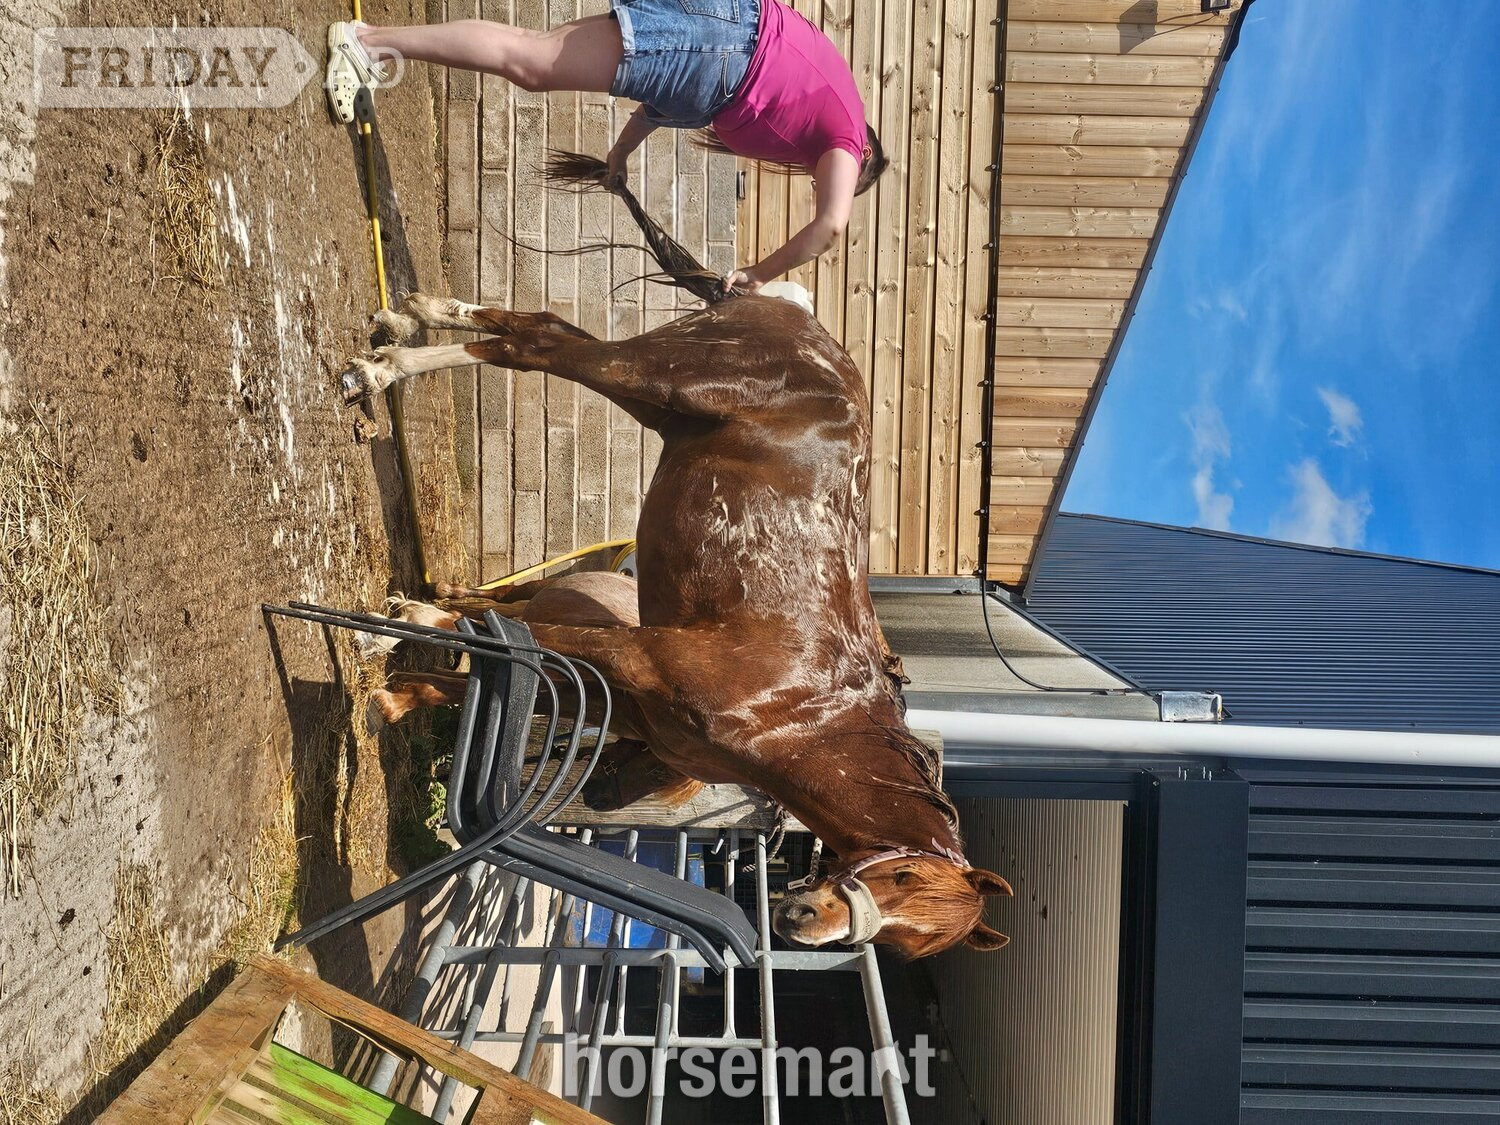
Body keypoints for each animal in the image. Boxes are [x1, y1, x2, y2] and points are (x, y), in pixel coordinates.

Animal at [340, 155, 1011, 958]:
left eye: (906, 945)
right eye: (904, 876)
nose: (799, 918)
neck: (796, 712)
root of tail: (789, 308)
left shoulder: (626, 704)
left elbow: (513, 657)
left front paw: (399, 679)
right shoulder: (638, 654)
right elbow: (526, 639)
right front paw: (393, 629)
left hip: (652, 398)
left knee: (536, 332)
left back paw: (408, 319)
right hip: (651, 376)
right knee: (537, 348)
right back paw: (382, 367)